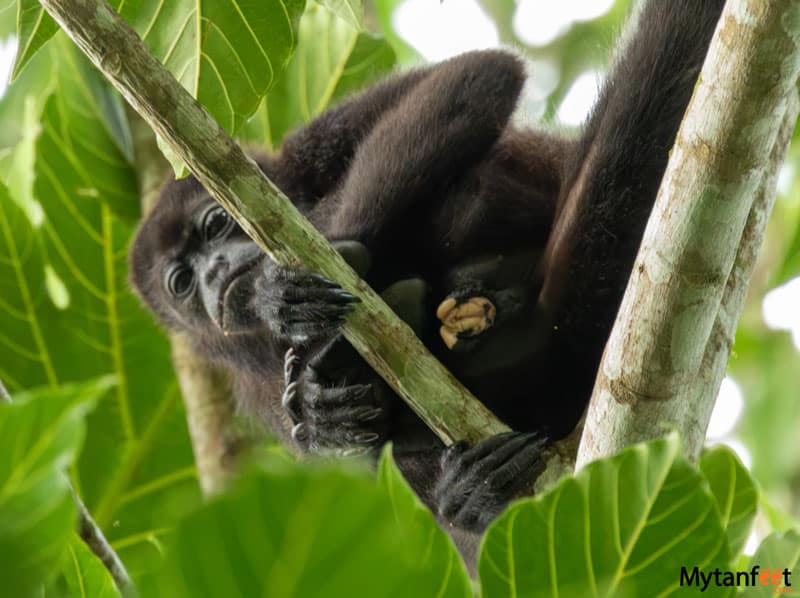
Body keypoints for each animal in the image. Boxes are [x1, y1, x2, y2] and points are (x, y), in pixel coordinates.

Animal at [129, 0, 725, 567]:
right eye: (181, 282)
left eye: (215, 225)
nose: (213, 273)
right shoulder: (252, 387)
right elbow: (346, 465)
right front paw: (319, 414)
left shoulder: (306, 148)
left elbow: (475, 76)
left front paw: (281, 289)